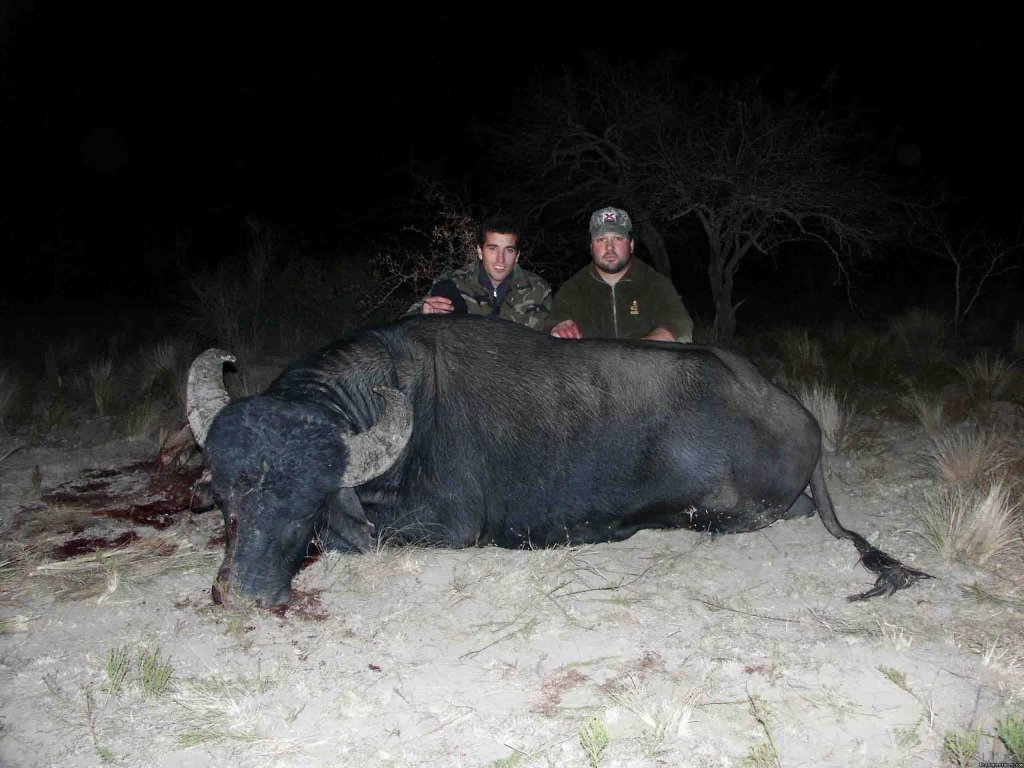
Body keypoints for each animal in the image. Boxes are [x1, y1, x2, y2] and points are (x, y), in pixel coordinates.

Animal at [186, 313, 929, 606]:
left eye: (307, 500)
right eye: (227, 497)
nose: (244, 593)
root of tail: (801, 417)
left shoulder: (448, 527)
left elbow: (354, 537)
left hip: (733, 510)